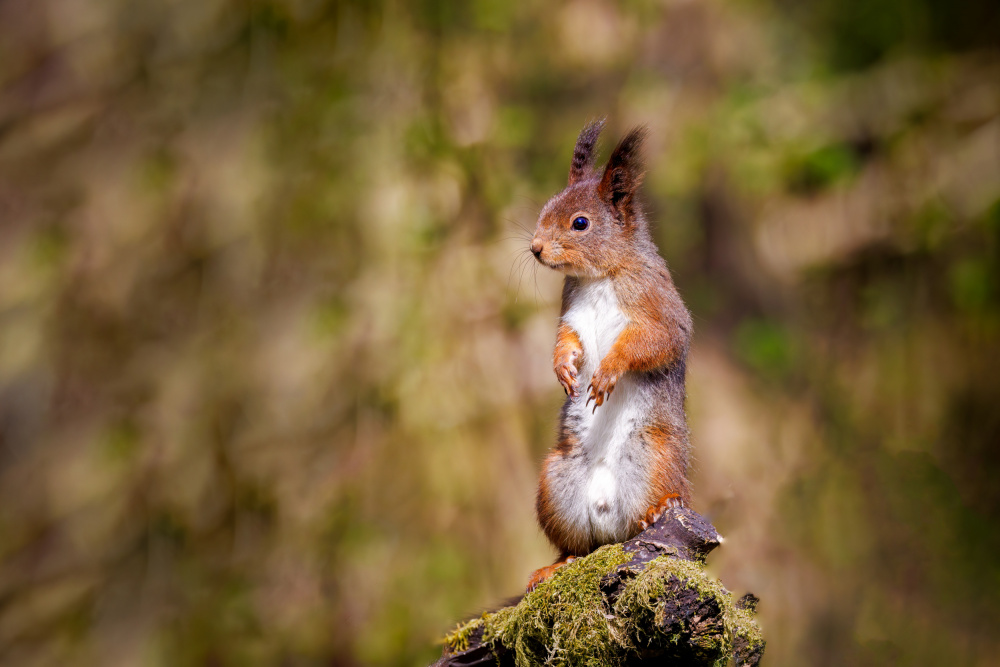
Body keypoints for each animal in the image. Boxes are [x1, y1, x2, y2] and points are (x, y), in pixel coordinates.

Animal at [524, 118, 696, 588]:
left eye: (580, 223)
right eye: (546, 207)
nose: (535, 248)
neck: (599, 275)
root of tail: (606, 516)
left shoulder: (659, 309)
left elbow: (653, 343)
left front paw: (606, 372)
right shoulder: (572, 313)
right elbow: (566, 341)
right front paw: (563, 369)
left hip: (655, 459)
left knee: (647, 510)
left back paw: (657, 510)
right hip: (556, 482)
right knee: (578, 547)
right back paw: (554, 566)